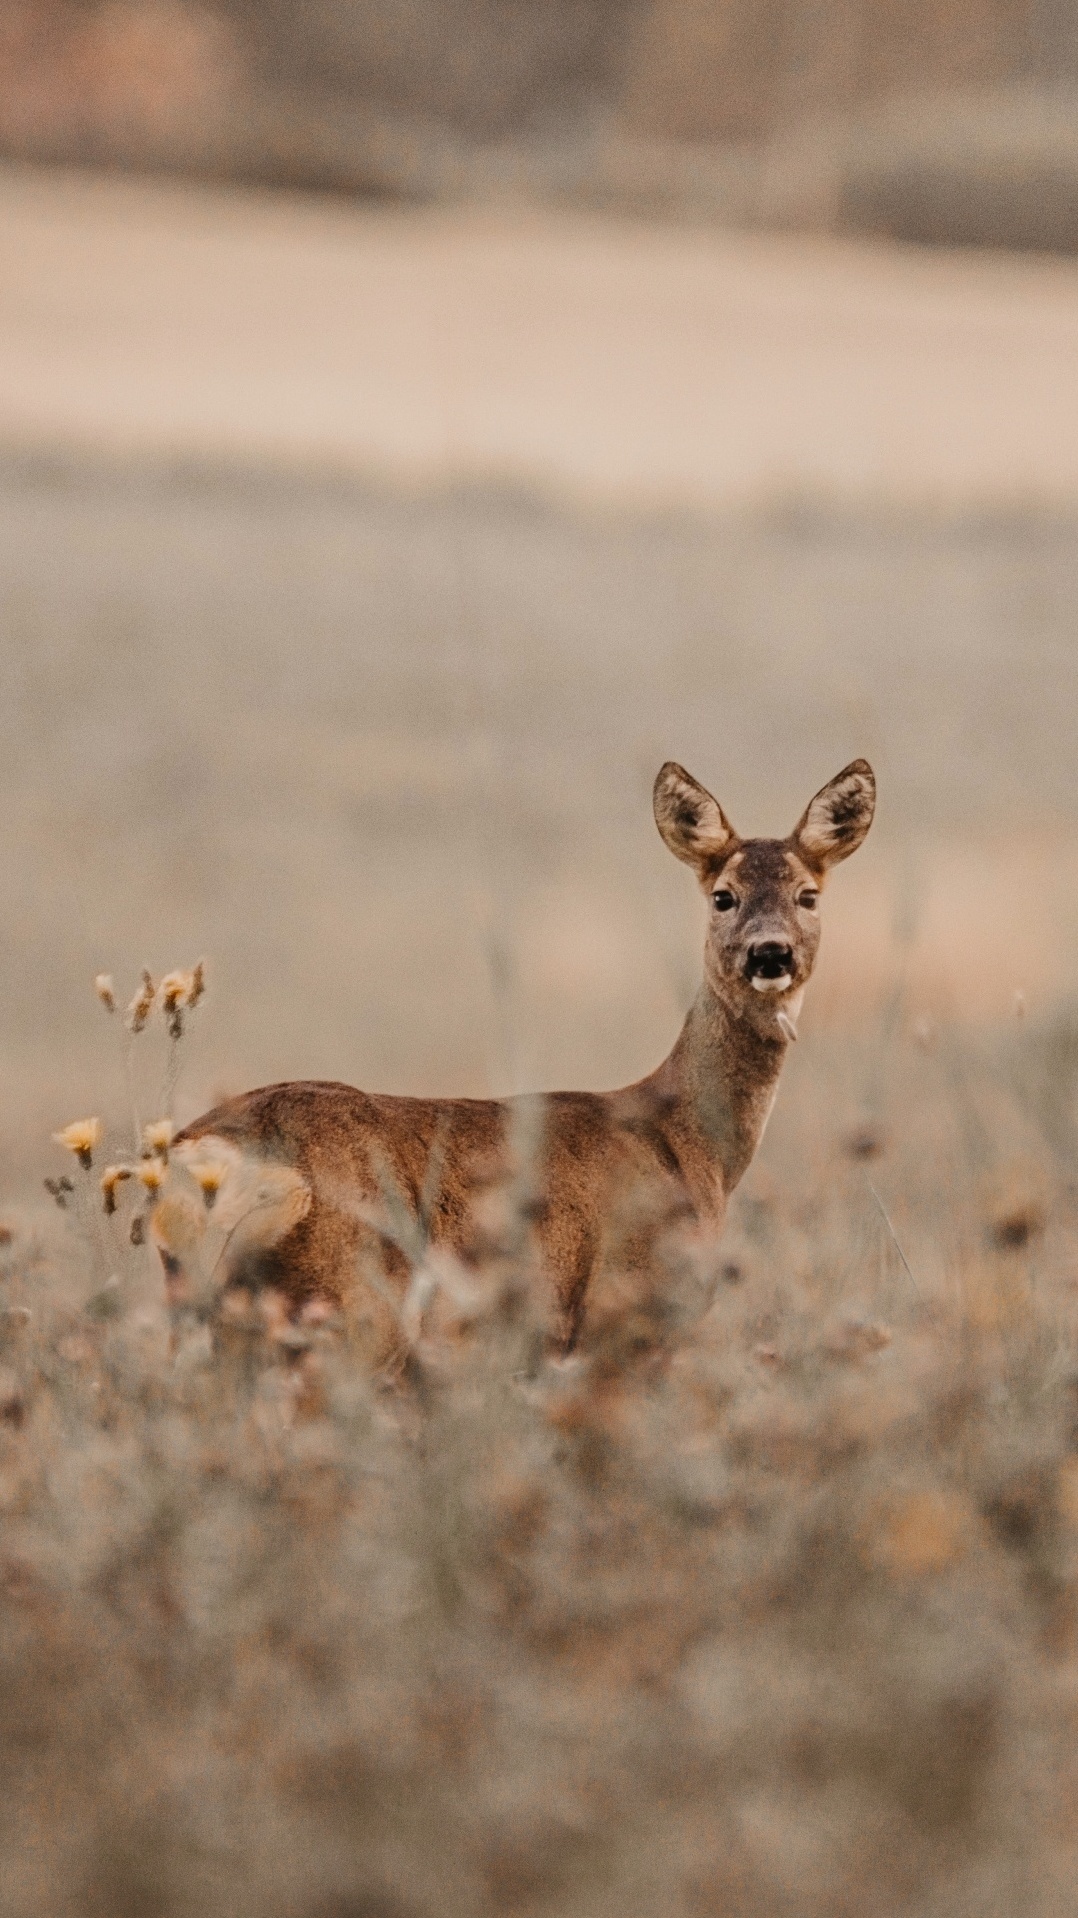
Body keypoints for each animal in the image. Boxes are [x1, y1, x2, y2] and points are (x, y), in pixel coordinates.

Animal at [161, 763, 874, 1365]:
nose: (770, 953)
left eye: (809, 896)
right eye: (723, 896)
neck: (689, 1144)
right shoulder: (622, 1318)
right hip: (346, 1307)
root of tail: (206, 1153)